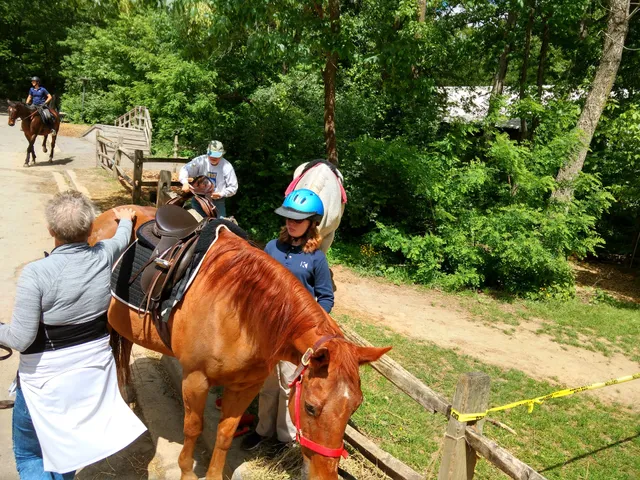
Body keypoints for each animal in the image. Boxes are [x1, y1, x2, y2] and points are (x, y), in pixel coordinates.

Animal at [90, 205, 391, 480]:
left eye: (355, 406)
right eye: (310, 407)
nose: (325, 476)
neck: (241, 314)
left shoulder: (246, 386)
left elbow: (225, 434)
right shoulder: (195, 379)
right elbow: (193, 428)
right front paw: (187, 471)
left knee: (124, 347)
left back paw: (127, 392)